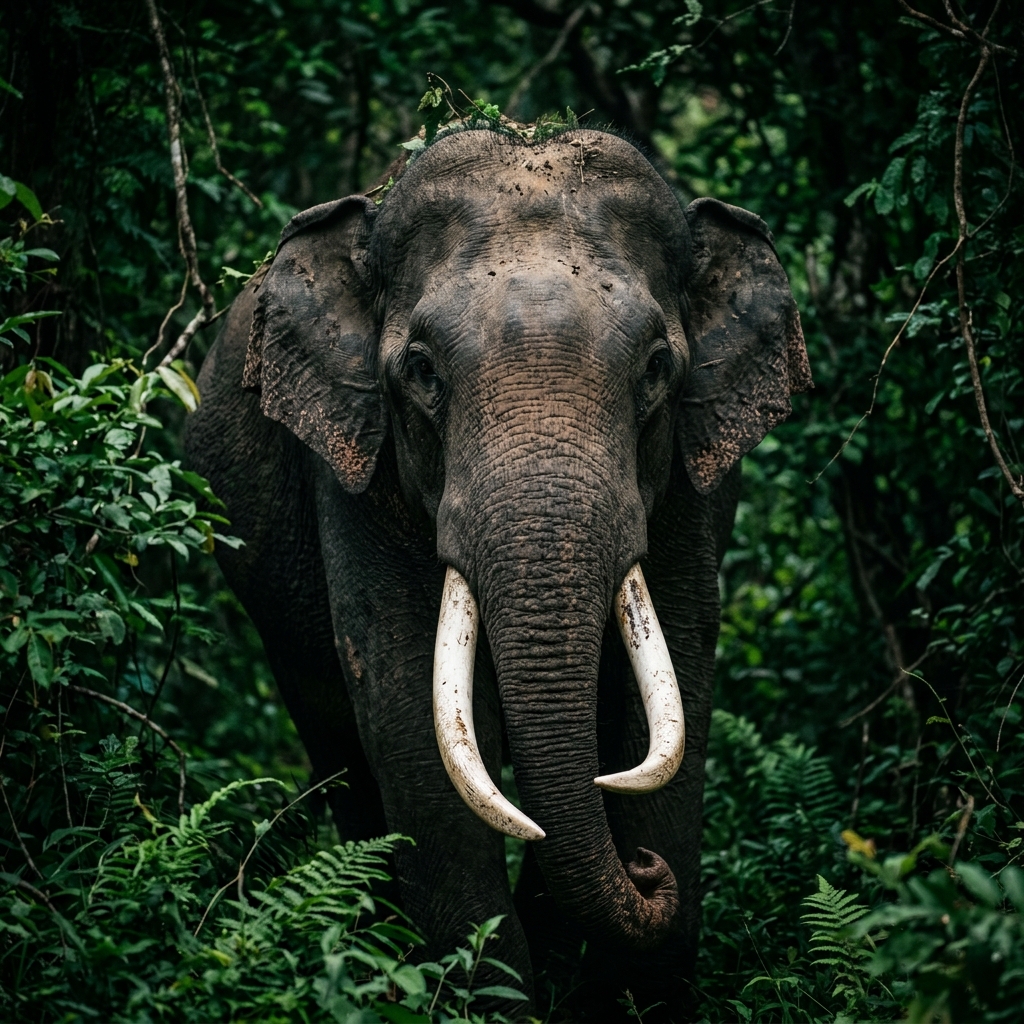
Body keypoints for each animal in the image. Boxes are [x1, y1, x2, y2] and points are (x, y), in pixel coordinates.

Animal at [185, 123, 812, 1021]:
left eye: (658, 368)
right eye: (421, 371)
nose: (645, 875)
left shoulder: (695, 490)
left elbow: (667, 699)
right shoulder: (359, 473)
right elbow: (415, 723)